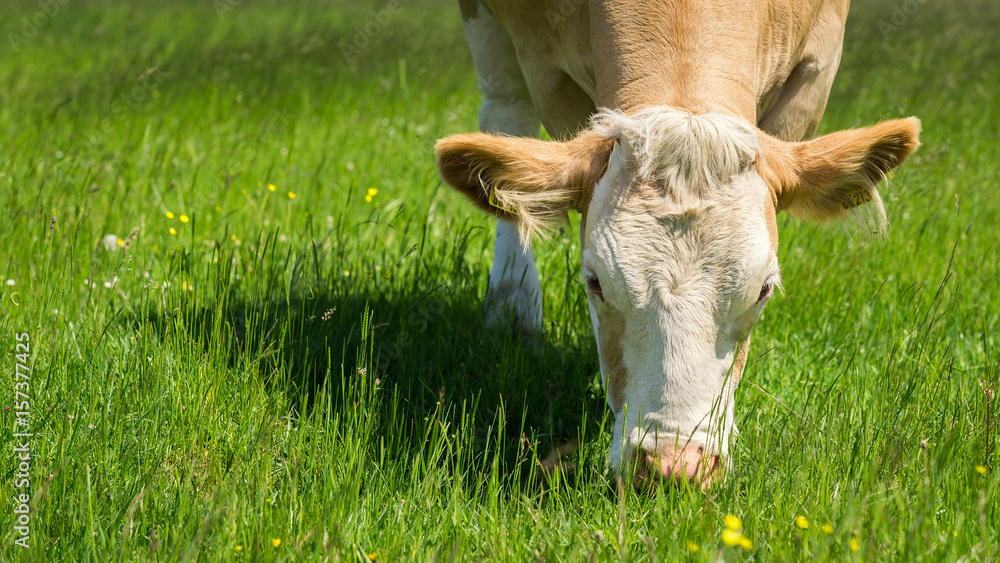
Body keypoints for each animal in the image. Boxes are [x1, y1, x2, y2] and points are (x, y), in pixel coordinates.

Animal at [436, 0, 920, 486]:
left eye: (763, 290)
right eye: (595, 282)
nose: (674, 467)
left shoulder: (817, 65)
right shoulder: (544, 69)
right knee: (504, 111)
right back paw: (512, 304)